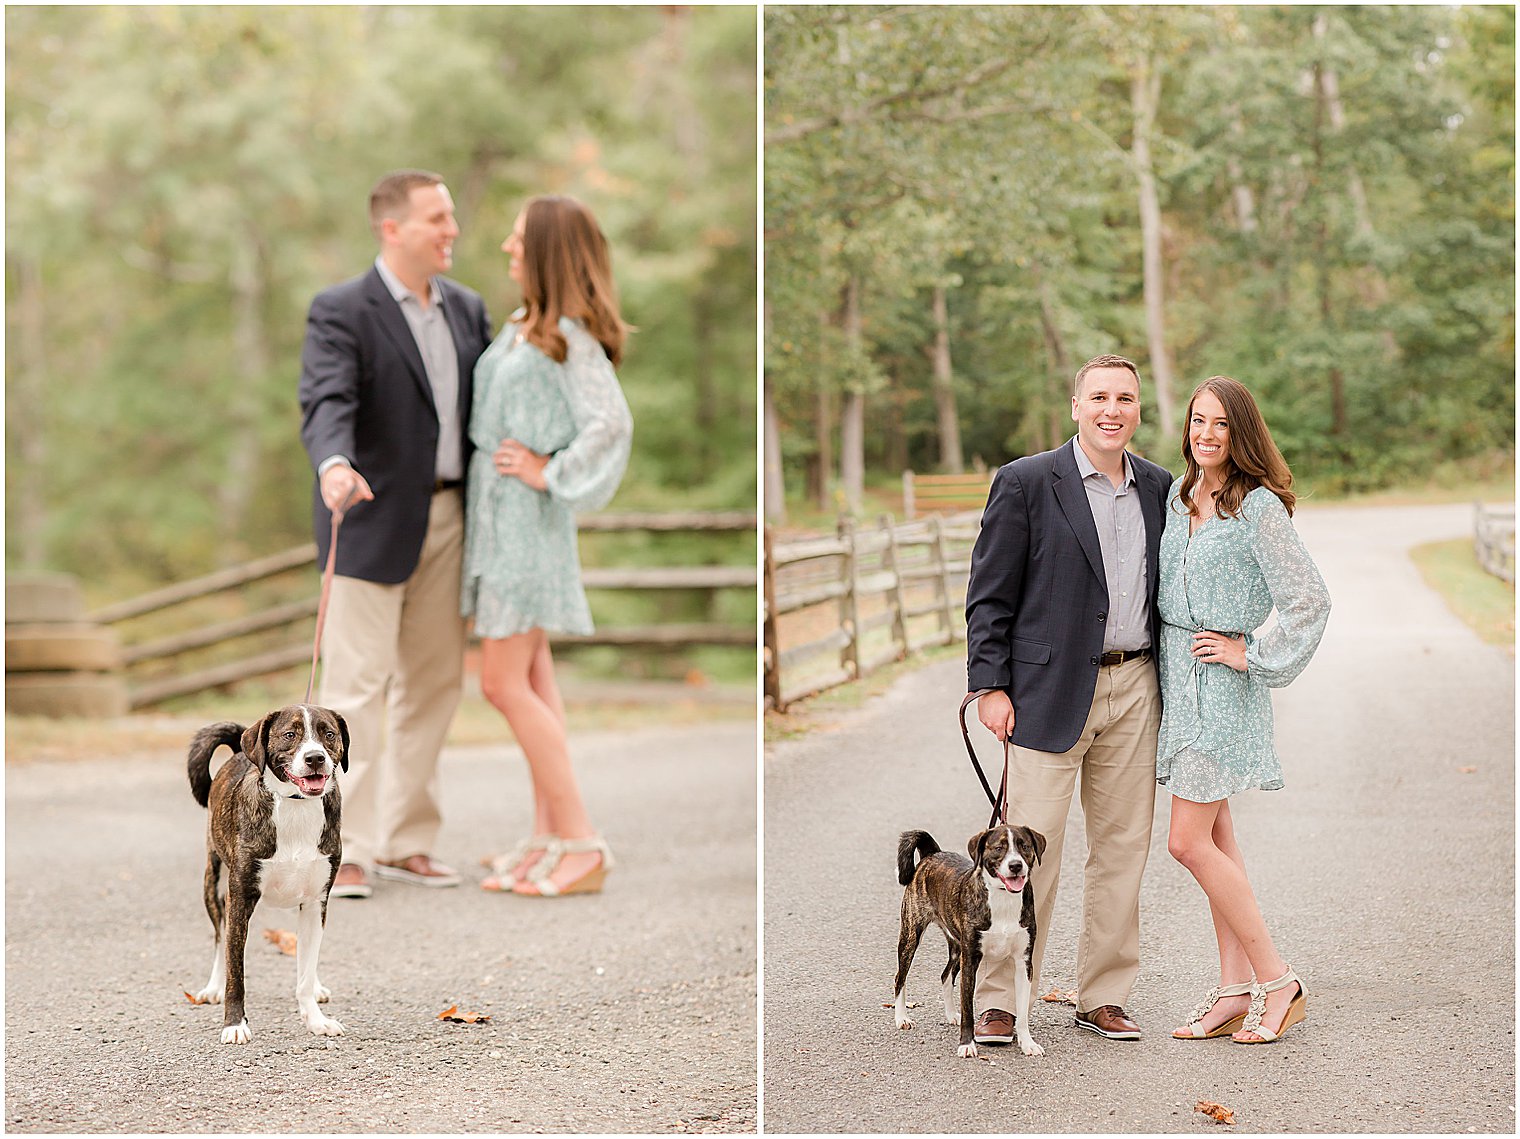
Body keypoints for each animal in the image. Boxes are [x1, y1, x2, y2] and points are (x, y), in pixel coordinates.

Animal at [185, 705, 348, 1046]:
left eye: (329, 734)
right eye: (290, 734)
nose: (315, 758)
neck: (296, 805)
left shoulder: (316, 902)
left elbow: (305, 969)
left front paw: (315, 1019)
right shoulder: (239, 899)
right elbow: (235, 972)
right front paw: (234, 1024)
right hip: (213, 884)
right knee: (219, 938)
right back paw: (213, 987)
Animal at [887, 827, 1045, 1058]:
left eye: (1024, 846)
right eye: (999, 847)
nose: (1015, 865)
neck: (1003, 898)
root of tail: (932, 854)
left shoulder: (1023, 963)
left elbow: (1023, 1010)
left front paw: (1027, 1043)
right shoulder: (970, 959)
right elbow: (968, 1008)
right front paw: (967, 1045)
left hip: (957, 946)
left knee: (945, 975)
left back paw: (952, 1014)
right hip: (911, 935)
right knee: (900, 977)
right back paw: (902, 1018)